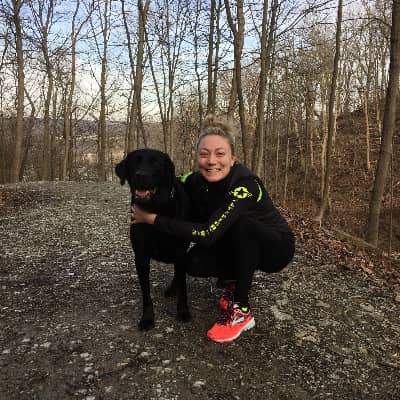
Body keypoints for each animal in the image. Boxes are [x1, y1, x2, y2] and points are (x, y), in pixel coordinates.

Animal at [115, 149, 191, 330]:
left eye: (156, 162)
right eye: (134, 161)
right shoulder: (141, 258)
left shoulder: (180, 253)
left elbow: (184, 287)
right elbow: (146, 294)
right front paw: (147, 318)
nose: (141, 175)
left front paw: (183, 311)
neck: (155, 210)